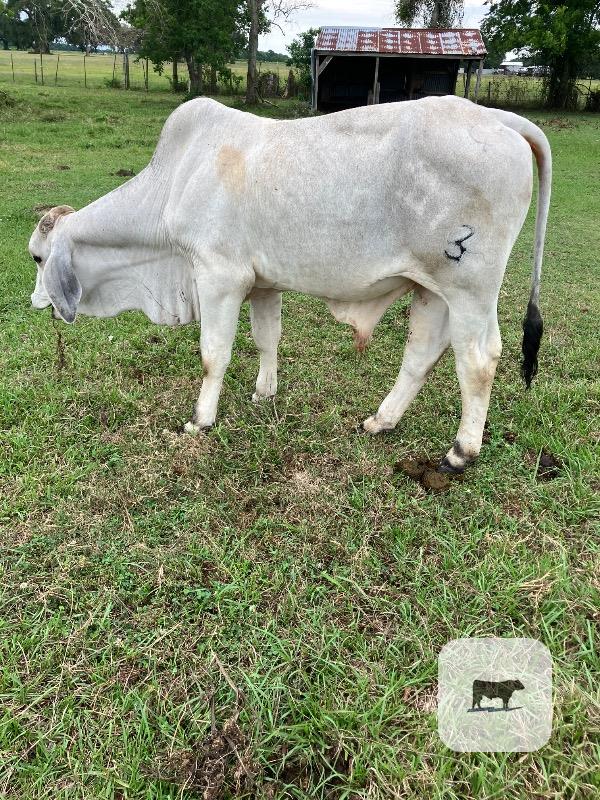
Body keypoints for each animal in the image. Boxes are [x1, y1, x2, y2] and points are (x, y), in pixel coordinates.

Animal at [29, 96, 551, 472]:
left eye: (37, 256)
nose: (36, 302)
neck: (175, 180)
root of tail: (499, 119)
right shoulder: (263, 284)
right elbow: (267, 340)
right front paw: (264, 394)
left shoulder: (218, 276)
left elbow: (213, 355)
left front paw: (201, 420)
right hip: (431, 289)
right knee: (421, 355)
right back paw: (380, 421)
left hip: (470, 291)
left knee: (479, 362)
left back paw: (461, 452)